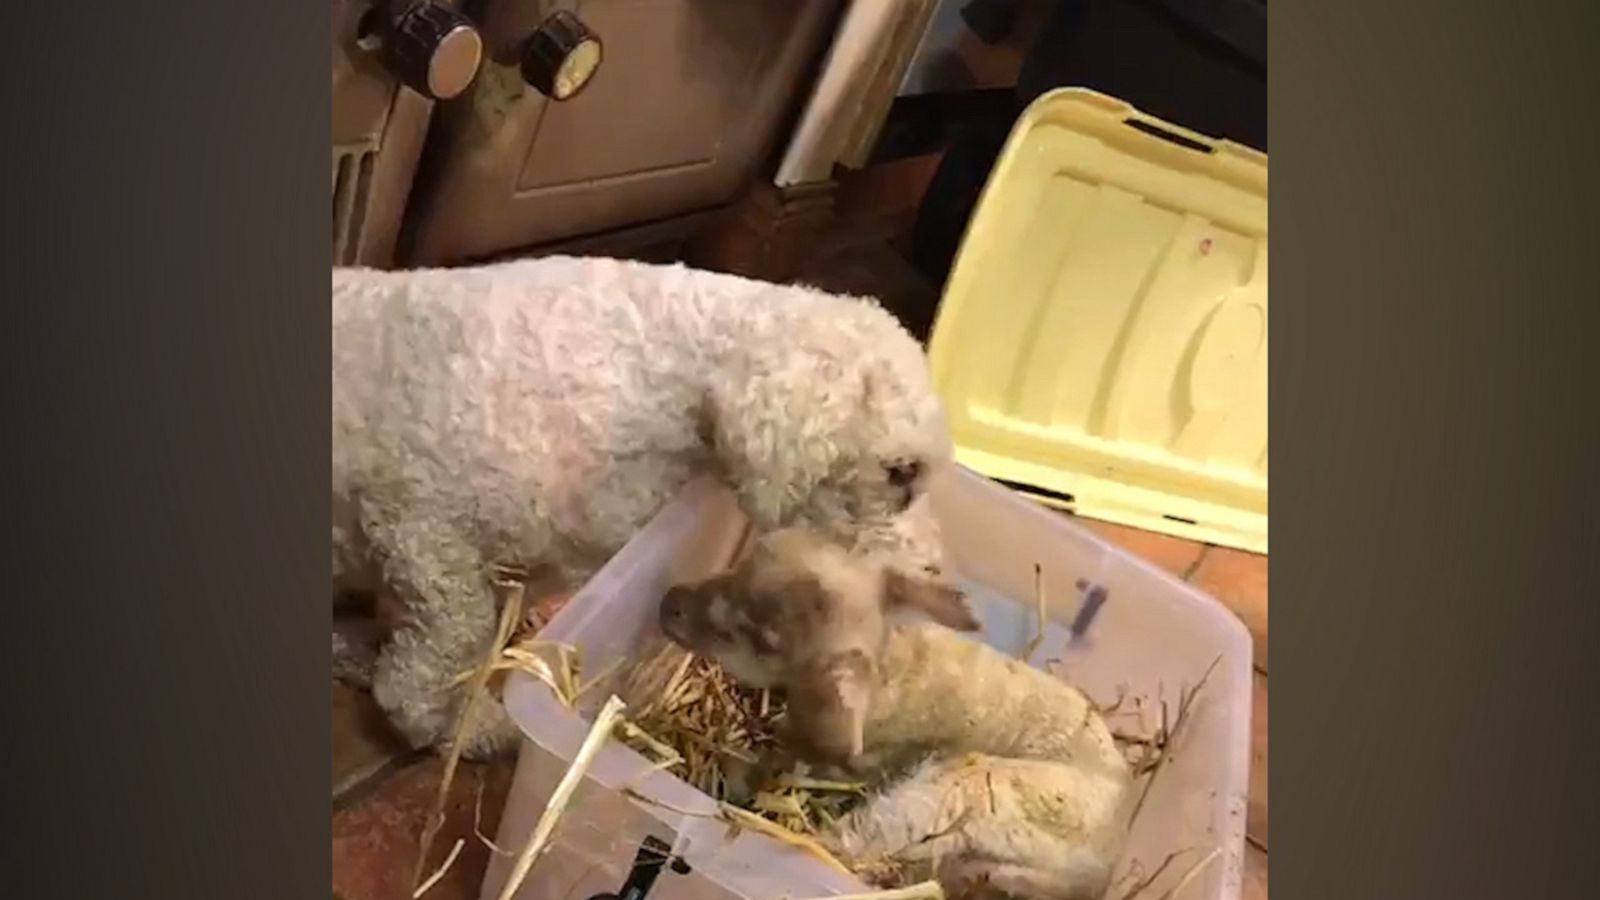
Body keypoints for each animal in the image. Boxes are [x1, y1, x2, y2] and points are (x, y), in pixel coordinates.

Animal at [656, 528, 1132, 890]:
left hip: (958, 795)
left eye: (763, 639)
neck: (892, 669)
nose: (668, 603)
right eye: (753, 556)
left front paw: (743, 776)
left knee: (848, 844)